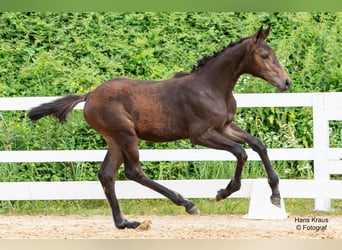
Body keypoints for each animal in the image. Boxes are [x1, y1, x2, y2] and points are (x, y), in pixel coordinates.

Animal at [28, 26, 290, 229]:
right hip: (125, 135)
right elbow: (240, 152)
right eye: (264, 55)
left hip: (114, 139)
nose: (286, 82)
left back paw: (124, 223)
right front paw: (223, 192)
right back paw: (186, 203)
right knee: (133, 172)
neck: (211, 87)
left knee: (107, 174)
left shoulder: (225, 126)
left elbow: (258, 144)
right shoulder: (201, 135)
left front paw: (276, 196)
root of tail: (90, 95)